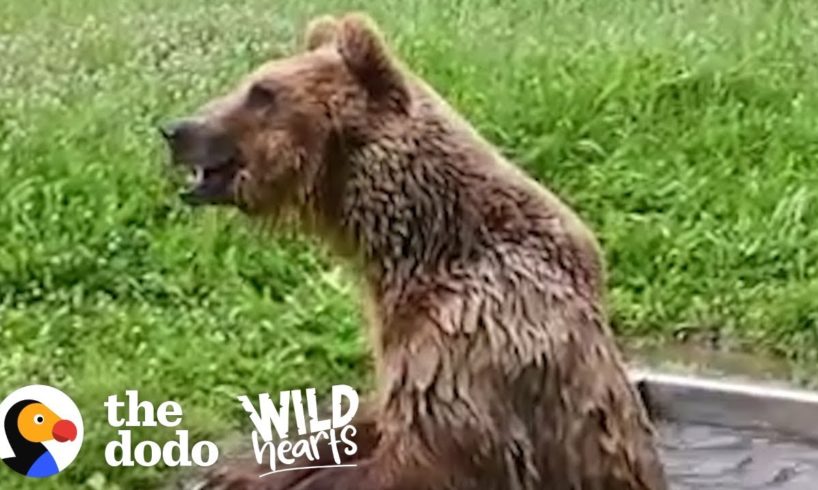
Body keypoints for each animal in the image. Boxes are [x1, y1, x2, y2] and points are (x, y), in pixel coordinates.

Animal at [163, 11, 668, 490]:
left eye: (262, 92)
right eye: (252, 82)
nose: (176, 129)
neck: (421, 245)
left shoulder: (473, 332)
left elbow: (429, 453)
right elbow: (367, 421)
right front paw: (239, 472)